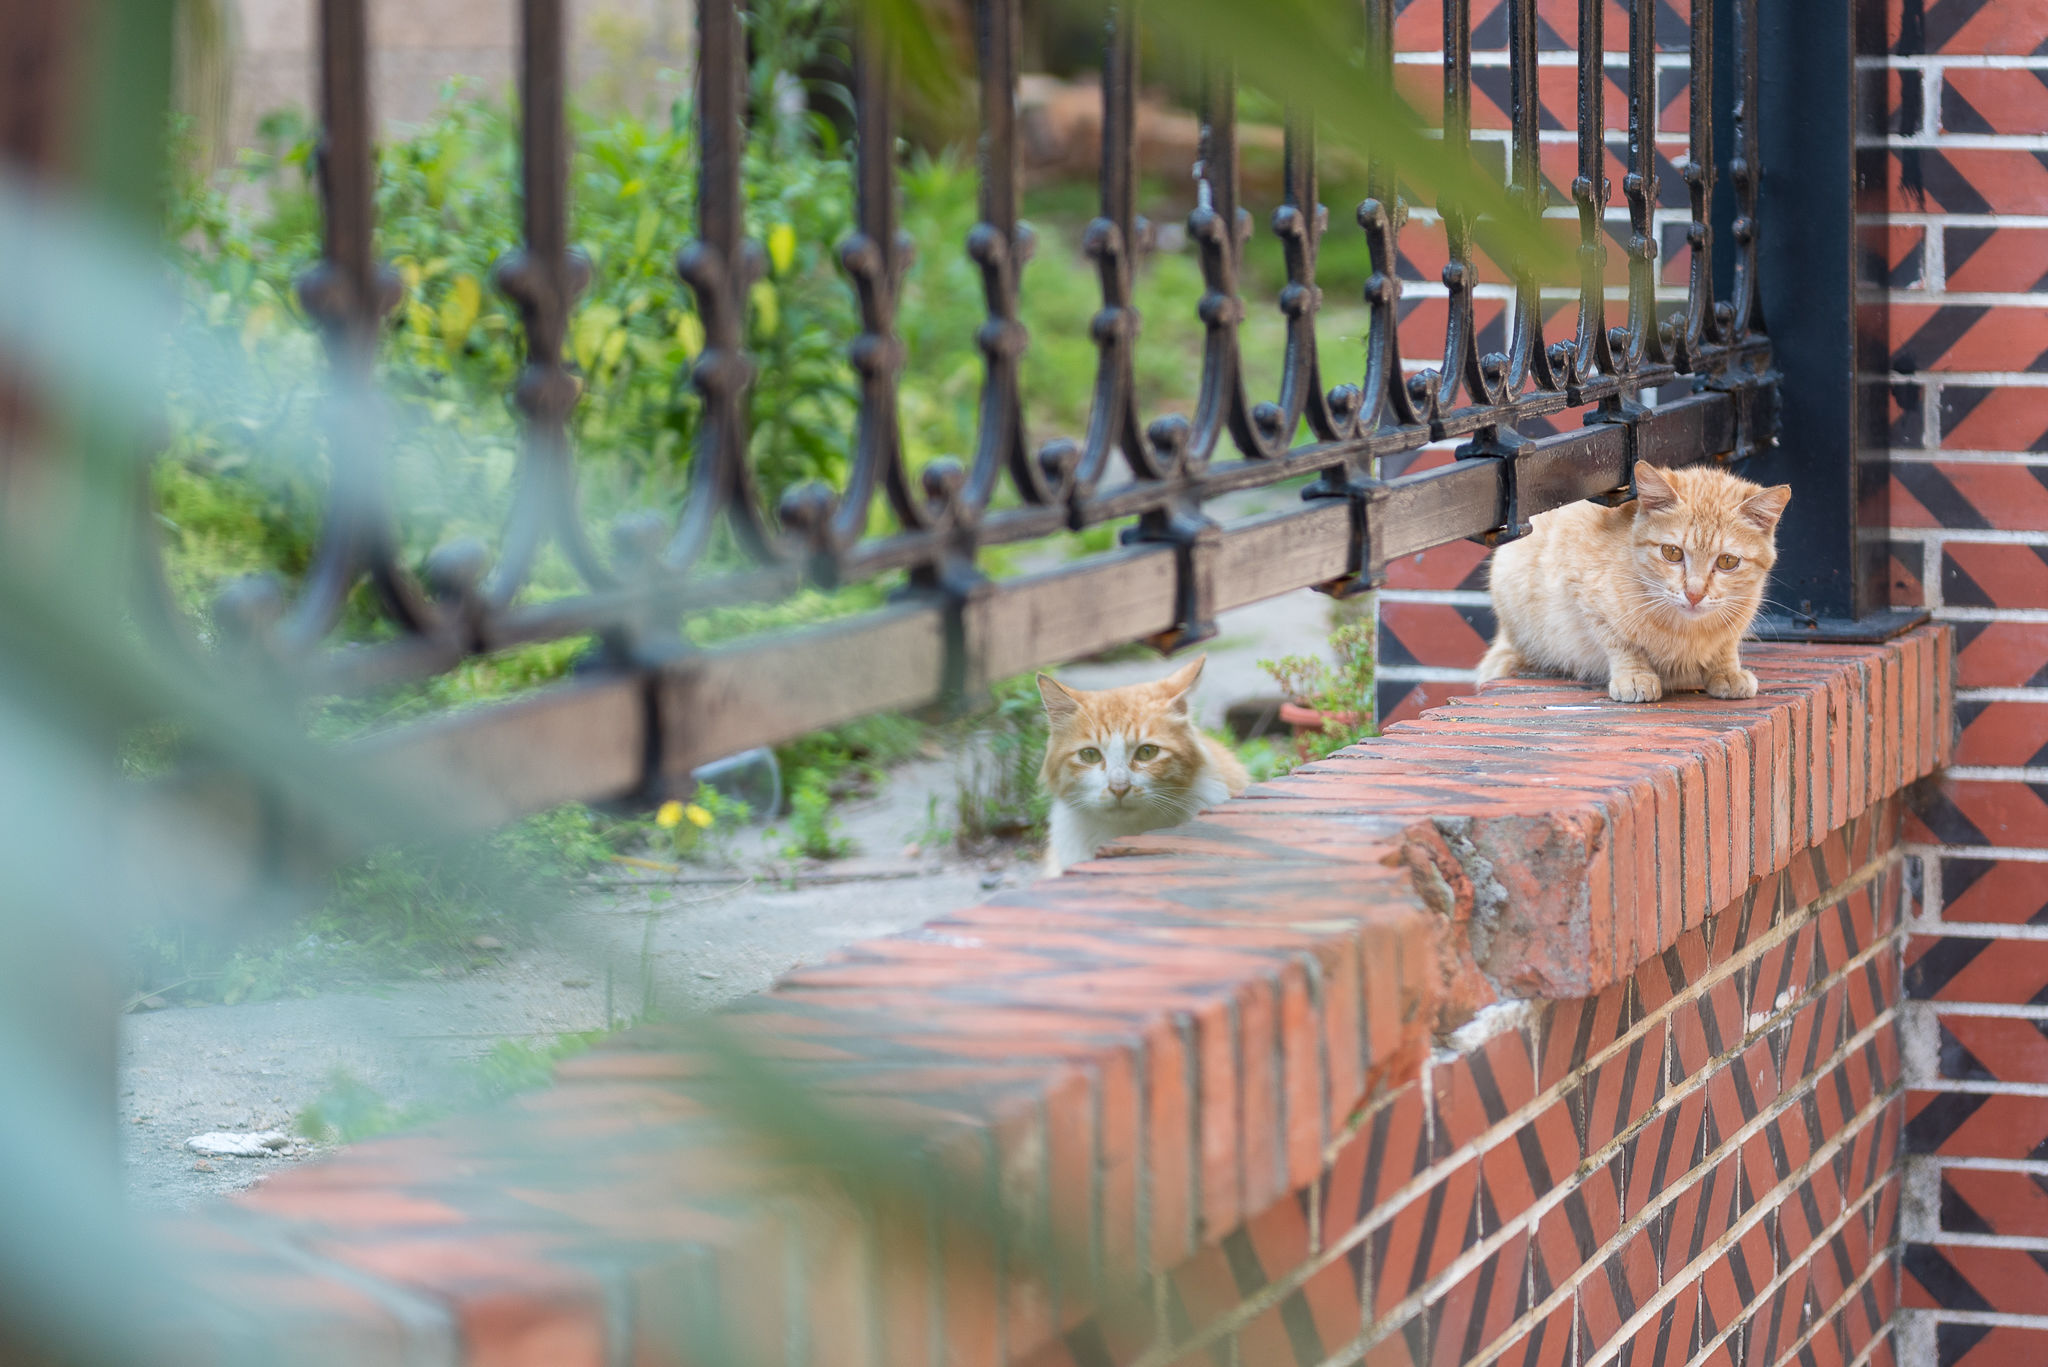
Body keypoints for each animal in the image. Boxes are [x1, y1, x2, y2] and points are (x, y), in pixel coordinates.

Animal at [1474, 465, 1794, 705]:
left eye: (1727, 561)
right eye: (1672, 552)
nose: (1694, 594)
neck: (1686, 630)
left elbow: (1725, 645)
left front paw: (1726, 671)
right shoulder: (1582, 591)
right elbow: (1620, 642)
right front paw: (1635, 676)